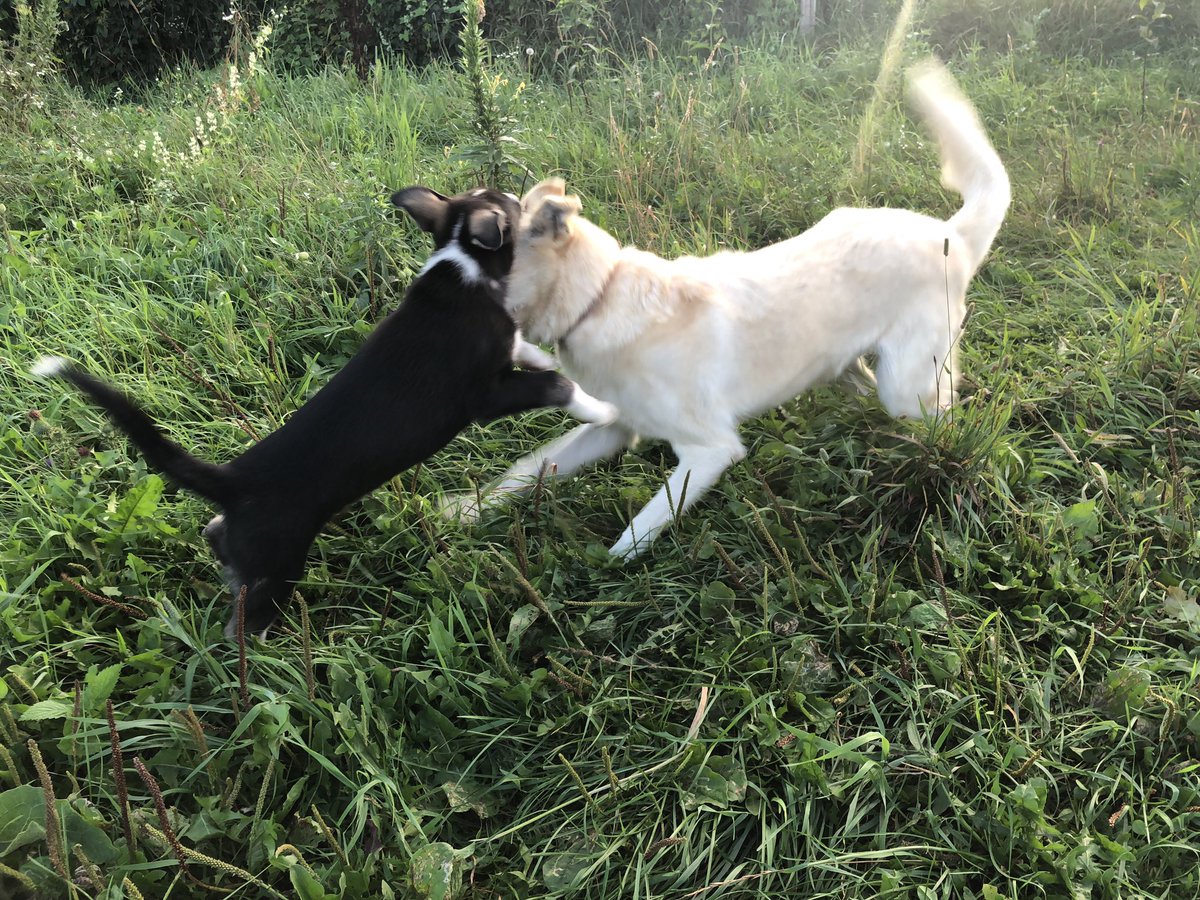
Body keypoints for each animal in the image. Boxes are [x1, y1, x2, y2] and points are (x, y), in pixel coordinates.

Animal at [32, 187, 614, 638]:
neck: (461, 265)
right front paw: (604, 410)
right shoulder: (484, 396)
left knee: (218, 540)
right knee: (244, 626)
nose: (525, 194)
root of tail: (233, 483)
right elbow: (556, 384)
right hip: (279, 567)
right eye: (512, 205)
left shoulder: (509, 350)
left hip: (246, 549)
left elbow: (533, 354)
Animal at [451, 60, 1012, 561]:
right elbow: (530, 468)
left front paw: (603, 581)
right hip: (848, 362)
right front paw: (461, 510)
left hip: (907, 388)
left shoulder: (709, 450)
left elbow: (638, 530)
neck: (599, 298)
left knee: (940, 413)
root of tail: (951, 234)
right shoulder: (614, 425)